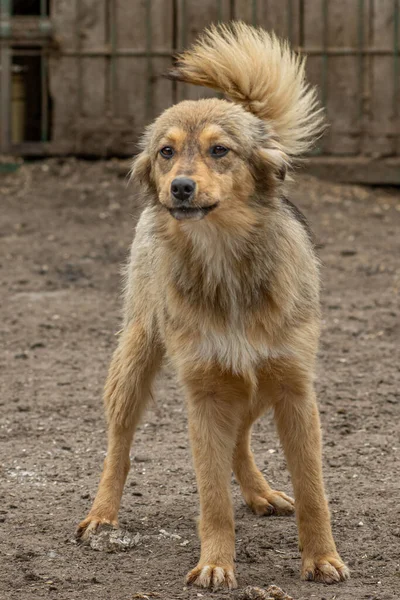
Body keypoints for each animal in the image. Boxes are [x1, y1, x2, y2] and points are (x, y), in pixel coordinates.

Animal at [76, 22, 348, 592]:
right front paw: (217, 563)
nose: (180, 188)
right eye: (166, 152)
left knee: (240, 437)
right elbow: (212, 496)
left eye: (219, 150)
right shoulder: (202, 392)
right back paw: (103, 514)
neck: (225, 264)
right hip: (137, 359)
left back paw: (260, 491)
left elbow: (313, 491)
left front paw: (321, 559)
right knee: (119, 446)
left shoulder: (293, 388)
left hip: (255, 384)